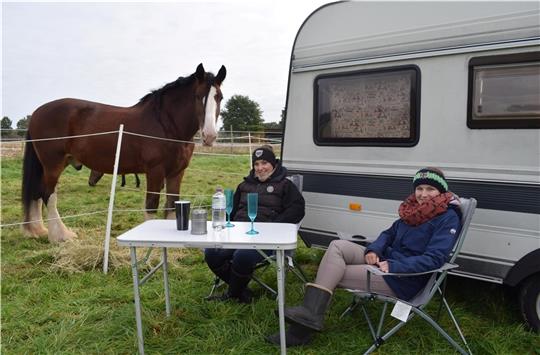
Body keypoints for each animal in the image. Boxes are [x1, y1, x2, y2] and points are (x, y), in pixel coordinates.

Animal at [21, 63, 226, 242]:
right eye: (198, 96)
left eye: (220, 97)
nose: (209, 136)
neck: (166, 125)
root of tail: (37, 113)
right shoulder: (155, 171)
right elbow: (151, 206)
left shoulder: (176, 173)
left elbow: (172, 205)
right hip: (53, 164)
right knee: (48, 195)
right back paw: (61, 236)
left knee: (37, 193)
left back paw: (39, 230)